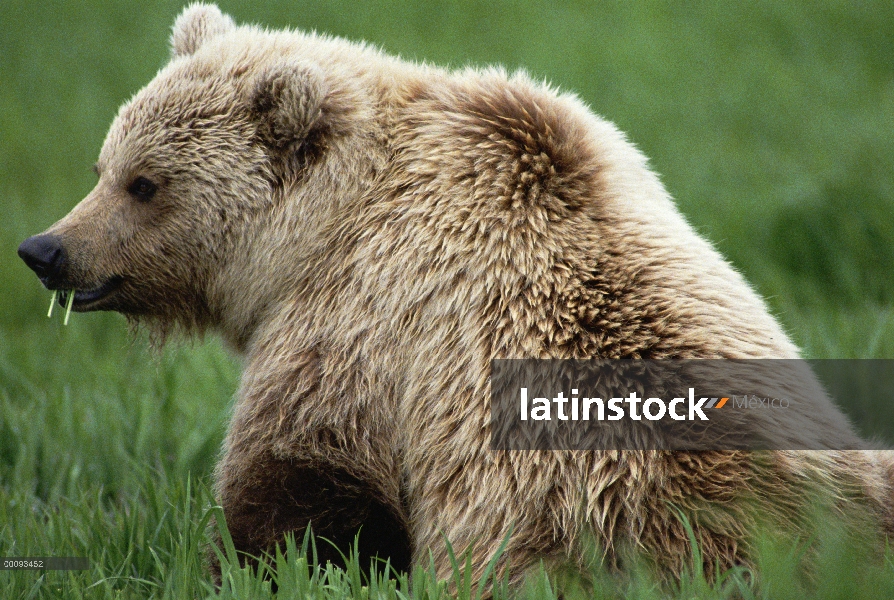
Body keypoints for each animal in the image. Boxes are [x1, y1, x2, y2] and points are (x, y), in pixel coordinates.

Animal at [15, 2, 894, 588]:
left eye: (145, 184)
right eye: (103, 165)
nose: (46, 250)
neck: (322, 229)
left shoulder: (360, 320)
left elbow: (298, 475)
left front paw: (247, 561)